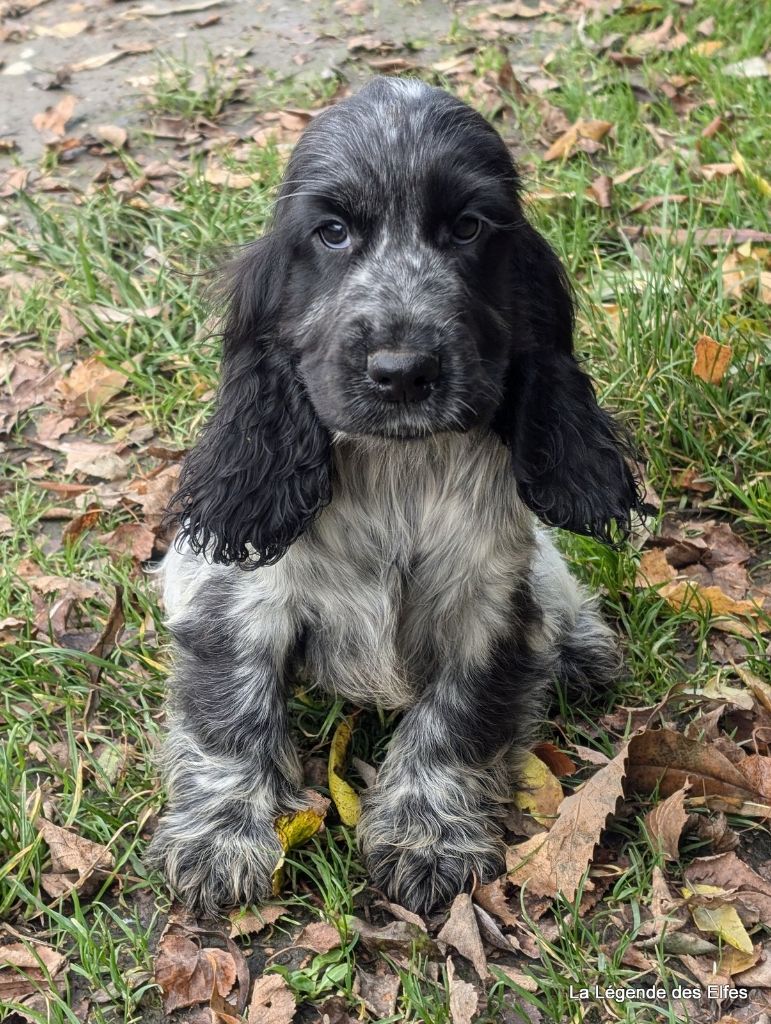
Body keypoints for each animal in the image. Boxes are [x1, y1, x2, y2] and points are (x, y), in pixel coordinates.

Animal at [147, 75, 638, 917]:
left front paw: (426, 836)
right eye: (332, 232)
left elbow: (454, 722)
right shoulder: (242, 603)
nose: (402, 372)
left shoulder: (485, 610)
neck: (396, 472)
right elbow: (231, 715)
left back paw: (579, 647)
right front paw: (219, 841)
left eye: (468, 228)